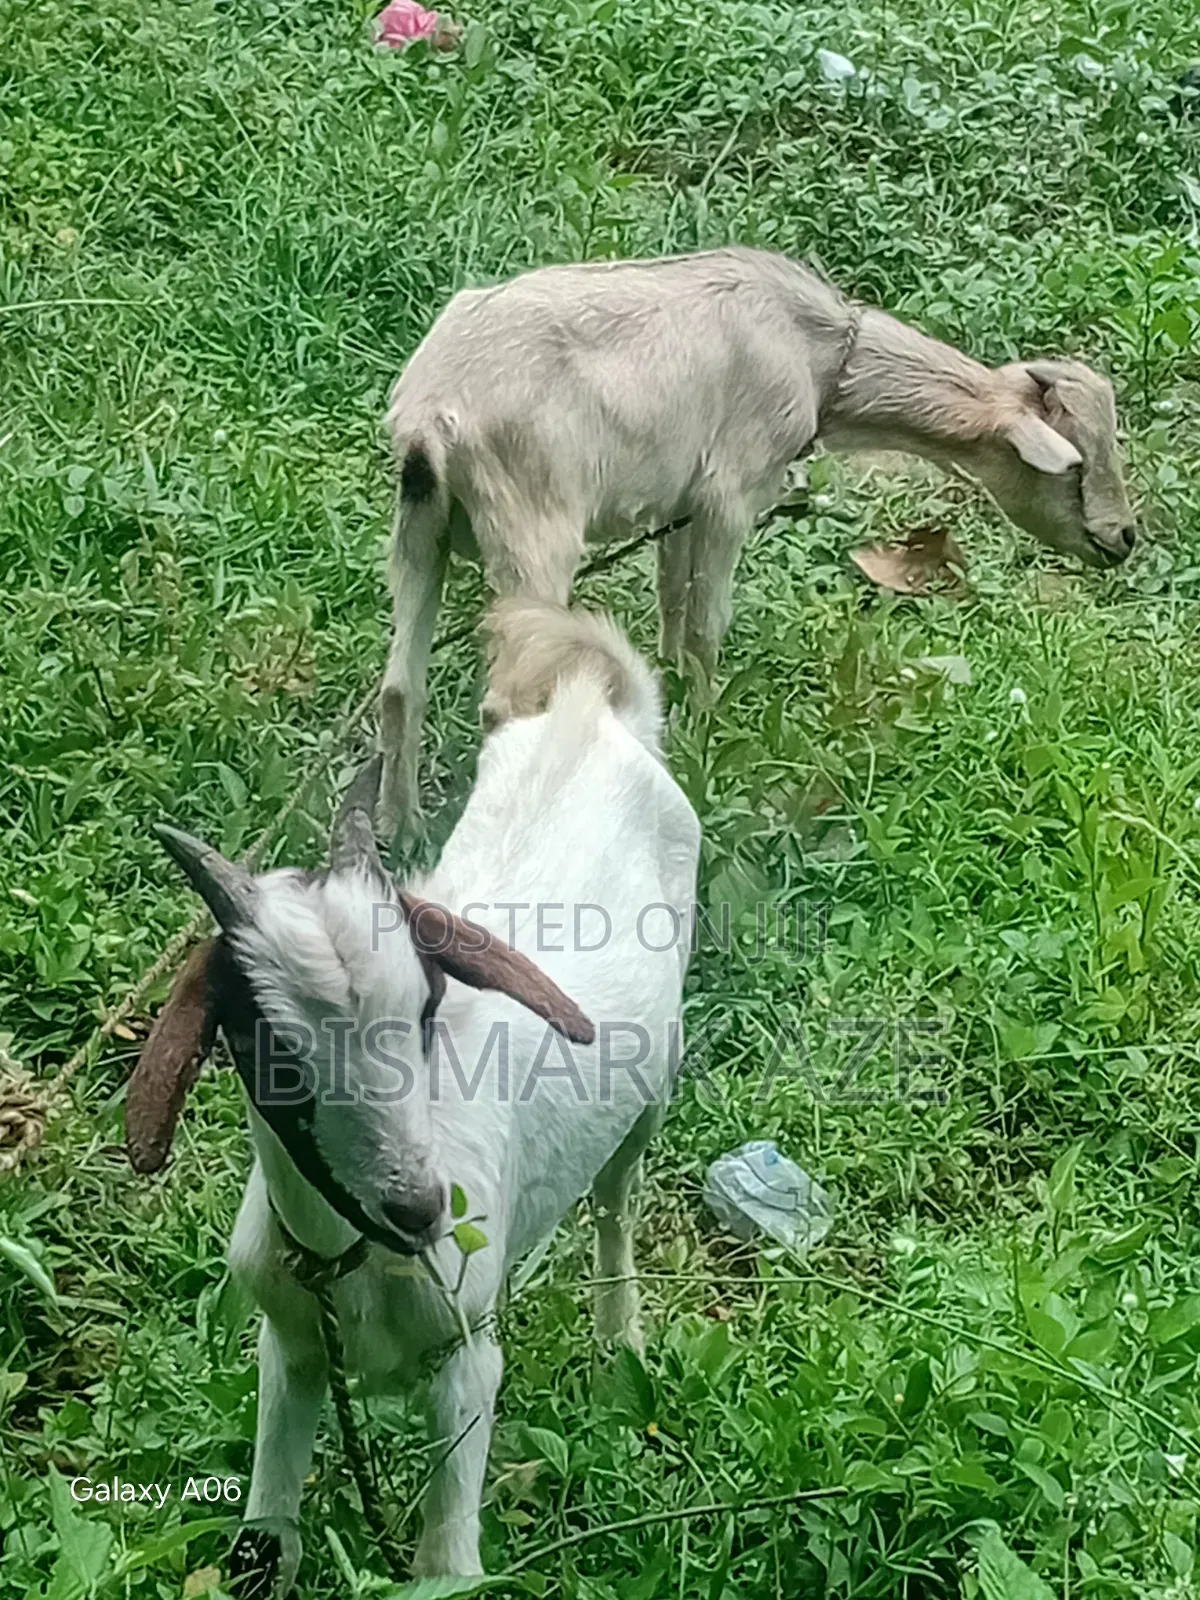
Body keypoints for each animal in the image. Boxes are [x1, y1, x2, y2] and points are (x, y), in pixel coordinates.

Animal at [124, 600, 700, 1593]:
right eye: (273, 1054)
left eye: (426, 1007)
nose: (425, 1208)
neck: (348, 1261)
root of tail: (593, 713)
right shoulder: (292, 1345)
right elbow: (264, 1542)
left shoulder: (468, 1357)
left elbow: (446, 1567)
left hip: (650, 1089)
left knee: (617, 1197)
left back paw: (620, 1339)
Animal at [379, 243, 1136, 834]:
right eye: (1075, 465)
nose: (1124, 538)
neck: (817, 355)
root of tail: (431, 414)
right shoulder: (729, 494)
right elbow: (707, 621)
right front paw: (707, 731)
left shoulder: (677, 504)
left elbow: (673, 599)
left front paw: (670, 690)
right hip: (534, 524)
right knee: (501, 698)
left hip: (421, 529)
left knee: (399, 685)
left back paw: (404, 828)